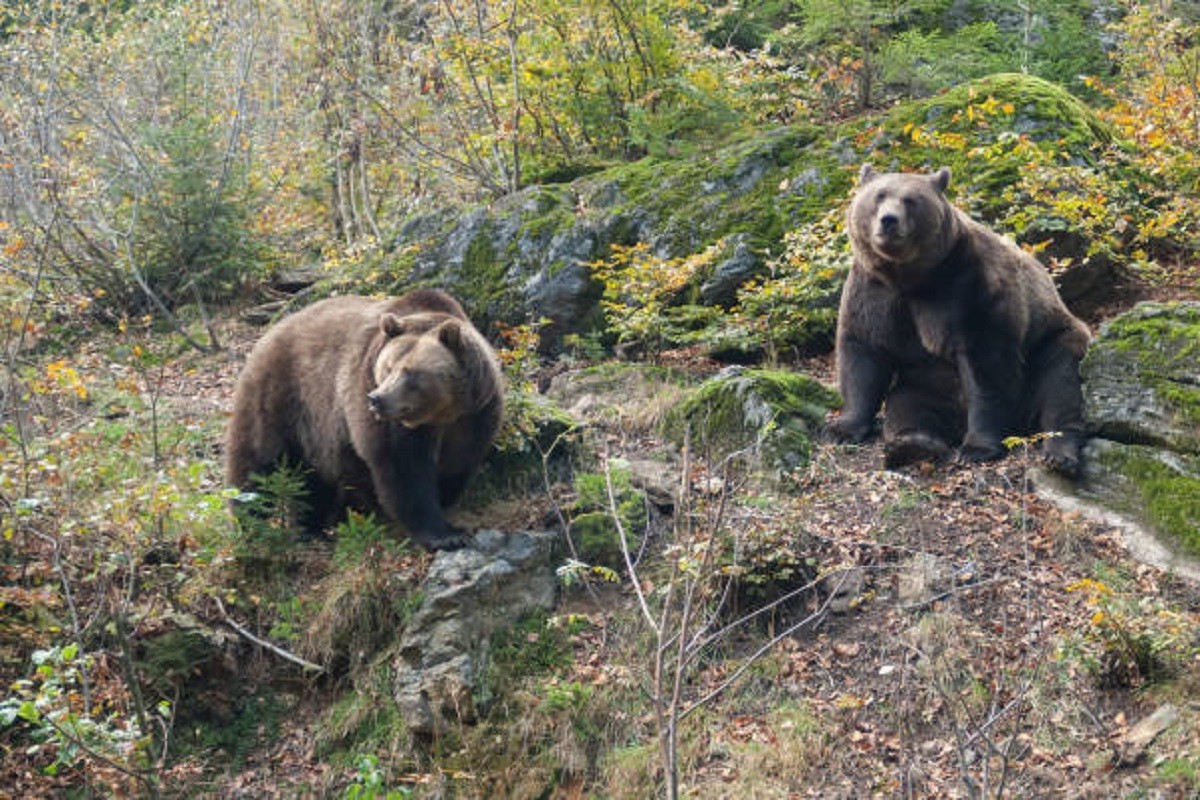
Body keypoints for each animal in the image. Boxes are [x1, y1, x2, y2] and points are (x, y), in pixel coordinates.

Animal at [225, 287, 501, 551]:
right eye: (387, 367)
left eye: (410, 372)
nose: (377, 399)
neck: (442, 413)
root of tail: (272, 329)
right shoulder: (375, 406)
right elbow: (403, 468)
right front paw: (445, 536)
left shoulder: (475, 415)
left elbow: (459, 461)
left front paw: (446, 501)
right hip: (280, 396)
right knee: (256, 461)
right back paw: (250, 524)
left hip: (314, 430)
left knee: (312, 479)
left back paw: (311, 527)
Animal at [830, 164, 1094, 474]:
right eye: (879, 195)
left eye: (910, 200)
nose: (889, 220)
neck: (910, 277)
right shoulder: (874, 292)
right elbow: (863, 352)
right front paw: (844, 428)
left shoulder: (967, 287)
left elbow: (986, 366)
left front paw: (977, 447)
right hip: (927, 381)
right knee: (910, 405)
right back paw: (913, 444)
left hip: (1051, 340)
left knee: (1060, 383)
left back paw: (1059, 454)